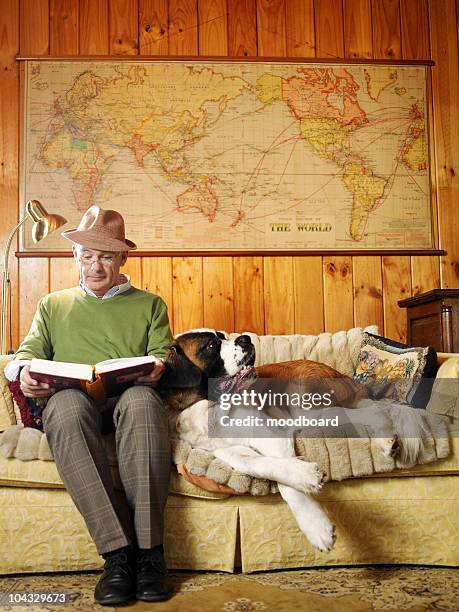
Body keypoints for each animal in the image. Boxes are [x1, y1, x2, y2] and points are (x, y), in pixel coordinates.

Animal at [161, 328, 428, 552]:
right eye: (211, 345)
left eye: (223, 336)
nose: (245, 338)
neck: (210, 410)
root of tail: (346, 377)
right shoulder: (224, 451)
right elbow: (254, 464)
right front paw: (304, 480)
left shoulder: (272, 434)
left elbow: (286, 484)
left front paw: (314, 521)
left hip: (306, 404)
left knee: (372, 410)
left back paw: (385, 437)